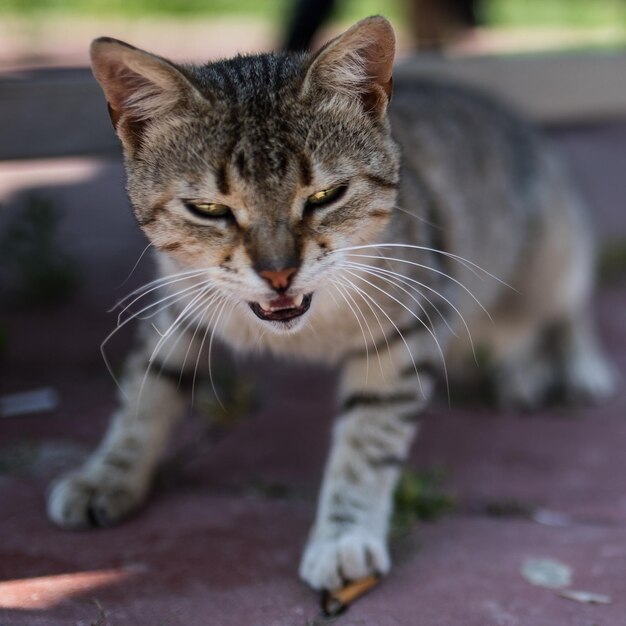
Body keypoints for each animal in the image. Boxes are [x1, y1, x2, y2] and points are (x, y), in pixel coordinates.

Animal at [46, 15, 612, 588]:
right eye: (208, 209)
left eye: (324, 197)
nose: (277, 273)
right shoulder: (176, 305)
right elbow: (145, 393)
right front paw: (108, 474)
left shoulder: (406, 331)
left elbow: (368, 440)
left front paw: (344, 535)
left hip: (556, 250)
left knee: (564, 310)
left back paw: (567, 369)